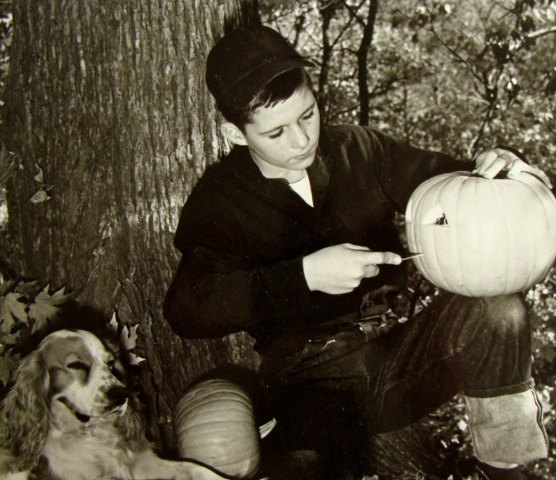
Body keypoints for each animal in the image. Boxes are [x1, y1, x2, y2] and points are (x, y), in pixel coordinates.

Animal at [0, 330, 232, 480]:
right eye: (76, 364)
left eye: (111, 364)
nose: (121, 395)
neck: (90, 435)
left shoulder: (142, 462)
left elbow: (194, 468)